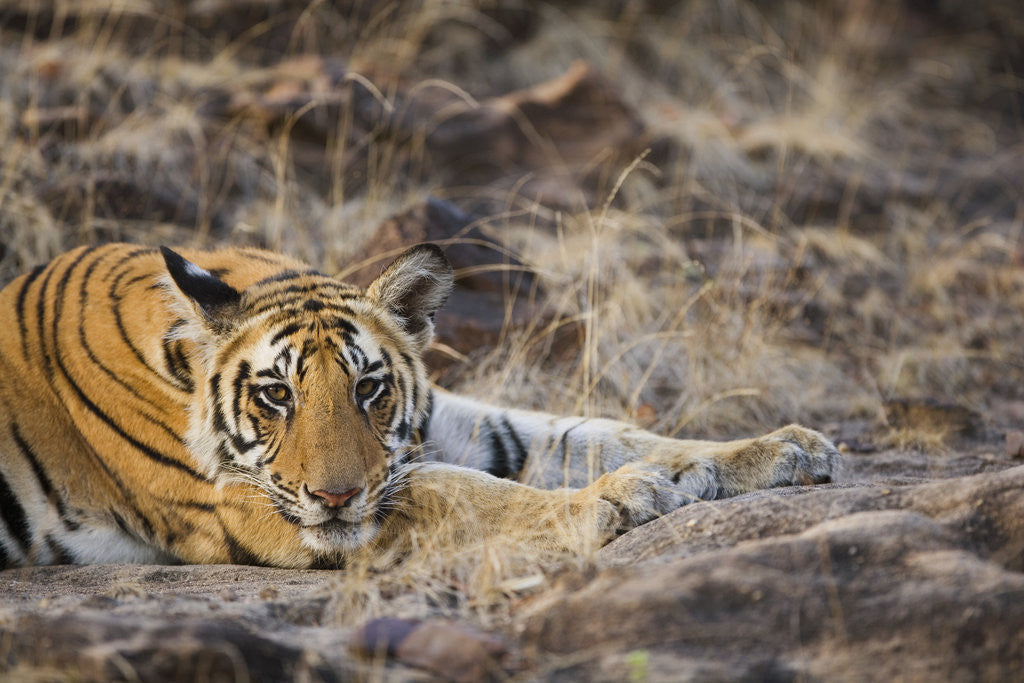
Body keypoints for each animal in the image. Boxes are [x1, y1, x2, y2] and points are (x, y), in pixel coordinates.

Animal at [0, 242, 839, 568]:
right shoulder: (251, 505)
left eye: (369, 388)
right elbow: (464, 493)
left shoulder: (443, 424)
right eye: (275, 394)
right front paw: (617, 499)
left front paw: (779, 448)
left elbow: (595, 430)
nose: (336, 495)